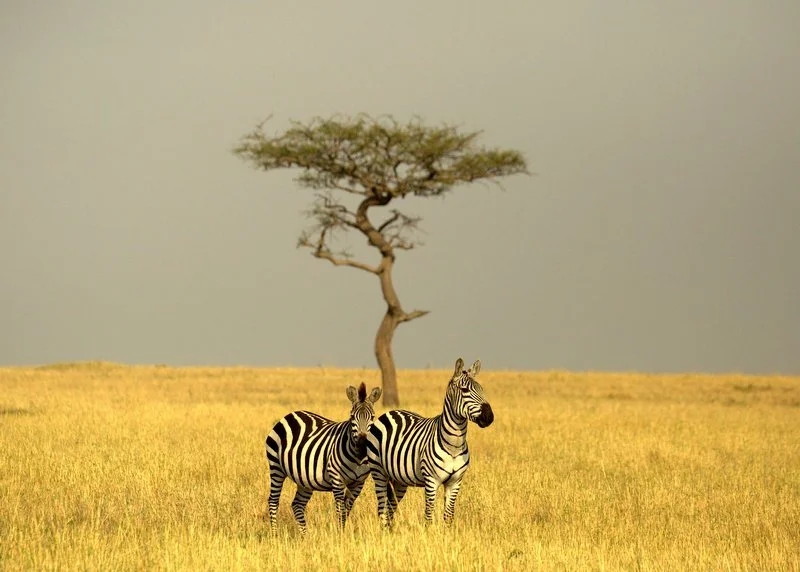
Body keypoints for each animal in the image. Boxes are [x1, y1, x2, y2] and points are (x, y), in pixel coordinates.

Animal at [265, 382, 382, 535]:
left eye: (372, 417)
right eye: (352, 417)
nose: (362, 444)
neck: (358, 459)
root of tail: (290, 415)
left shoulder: (358, 483)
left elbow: (347, 509)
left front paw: (342, 533)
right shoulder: (336, 478)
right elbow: (340, 510)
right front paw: (340, 535)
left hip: (304, 479)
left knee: (297, 504)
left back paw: (304, 536)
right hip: (276, 467)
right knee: (273, 501)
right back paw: (274, 534)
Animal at [366, 358, 494, 528]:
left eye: (481, 389)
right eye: (465, 390)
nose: (489, 416)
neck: (454, 445)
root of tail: (391, 412)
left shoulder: (455, 483)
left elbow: (448, 516)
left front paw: (448, 534)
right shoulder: (431, 481)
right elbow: (428, 516)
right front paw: (429, 533)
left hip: (399, 480)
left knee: (390, 509)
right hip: (378, 472)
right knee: (382, 510)